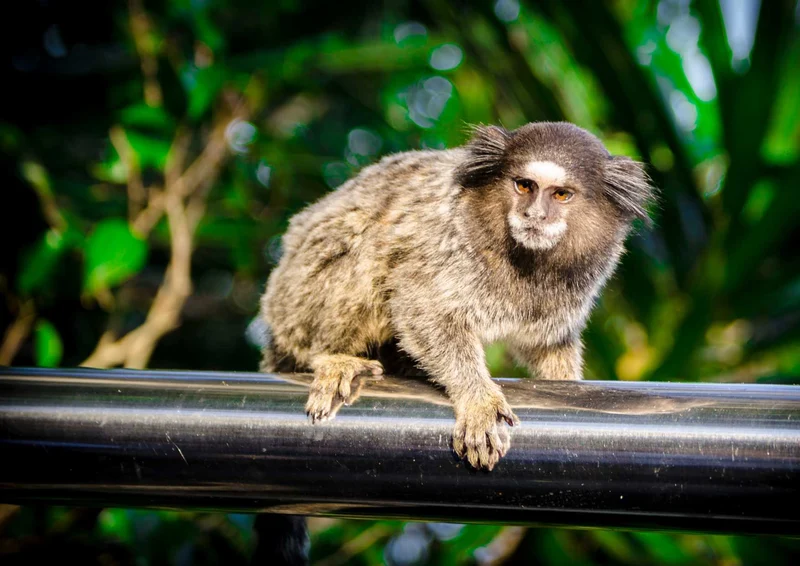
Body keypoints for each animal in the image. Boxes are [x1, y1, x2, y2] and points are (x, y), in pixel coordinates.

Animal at [259, 121, 656, 471]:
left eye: (561, 194)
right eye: (524, 186)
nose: (534, 215)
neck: (528, 260)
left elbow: (545, 344)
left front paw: (562, 379)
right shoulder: (447, 240)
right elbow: (423, 309)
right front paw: (478, 400)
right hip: (294, 302)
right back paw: (333, 357)